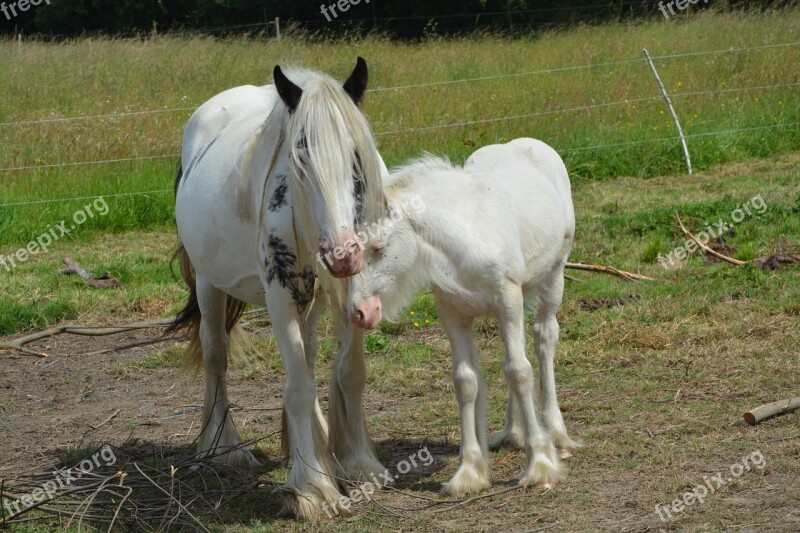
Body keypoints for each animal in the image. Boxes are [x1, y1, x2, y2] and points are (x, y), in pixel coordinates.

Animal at [350, 137, 580, 494]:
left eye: (378, 247)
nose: (360, 311)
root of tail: (529, 143)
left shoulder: (507, 298)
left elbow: (519, 372)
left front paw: (540, 464)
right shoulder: (453, 313)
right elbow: (466, 380)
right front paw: (470, 472)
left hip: (553, 276)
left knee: (543, 342)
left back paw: (555, 433)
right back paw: (514, 432)